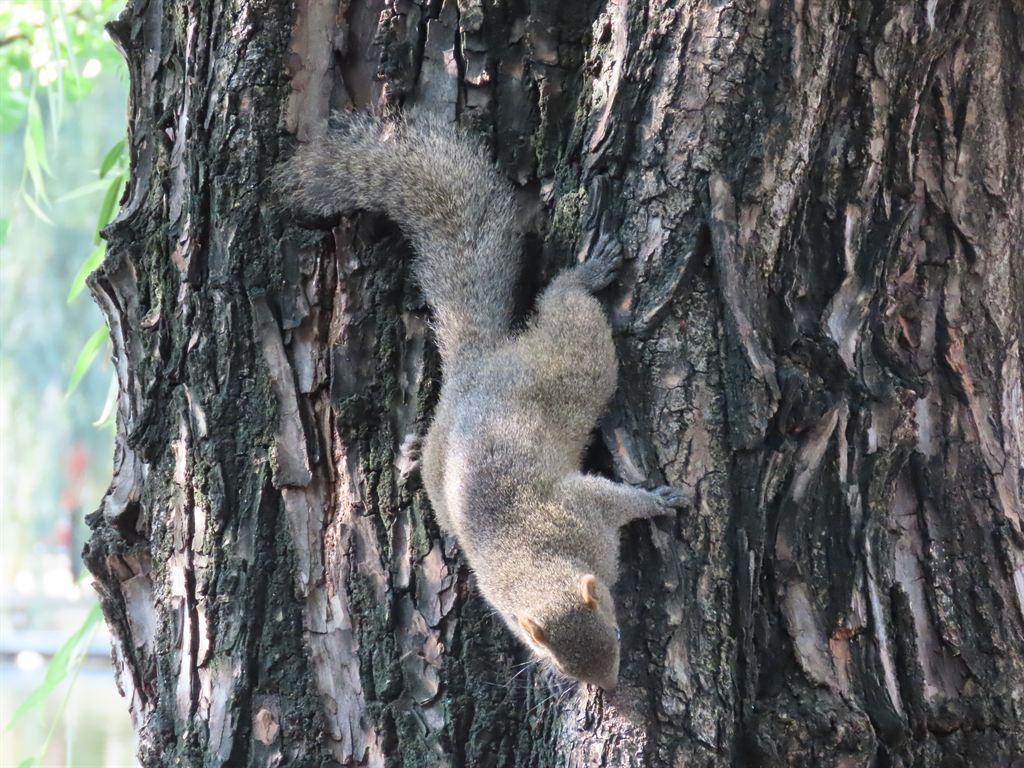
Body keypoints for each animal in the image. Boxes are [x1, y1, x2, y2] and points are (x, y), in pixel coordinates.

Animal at [275, 113, 686, 692]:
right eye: (557, 659)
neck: (537, 562)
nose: (605, 687)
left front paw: (658, 502)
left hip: (572, 365)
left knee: (565, 305)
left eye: (616, 631)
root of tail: (475, 365)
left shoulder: (584, 506)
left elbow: (619, 500)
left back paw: (585, 275)